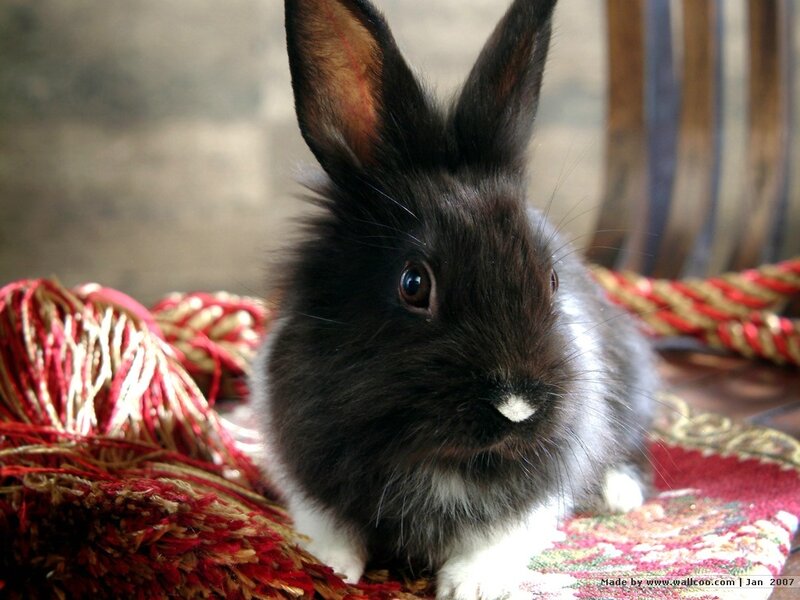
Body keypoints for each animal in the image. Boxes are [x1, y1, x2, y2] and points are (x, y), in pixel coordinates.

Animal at [251, 0, 657, 598]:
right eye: (413, 284)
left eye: (552, 279)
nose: (517, 407)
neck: (444, 459)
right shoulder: (302, 466)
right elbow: (326, 526)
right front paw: (324, 568)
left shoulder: (545, 484)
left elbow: (505, 534)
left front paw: (472, 585)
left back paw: (618, 492)